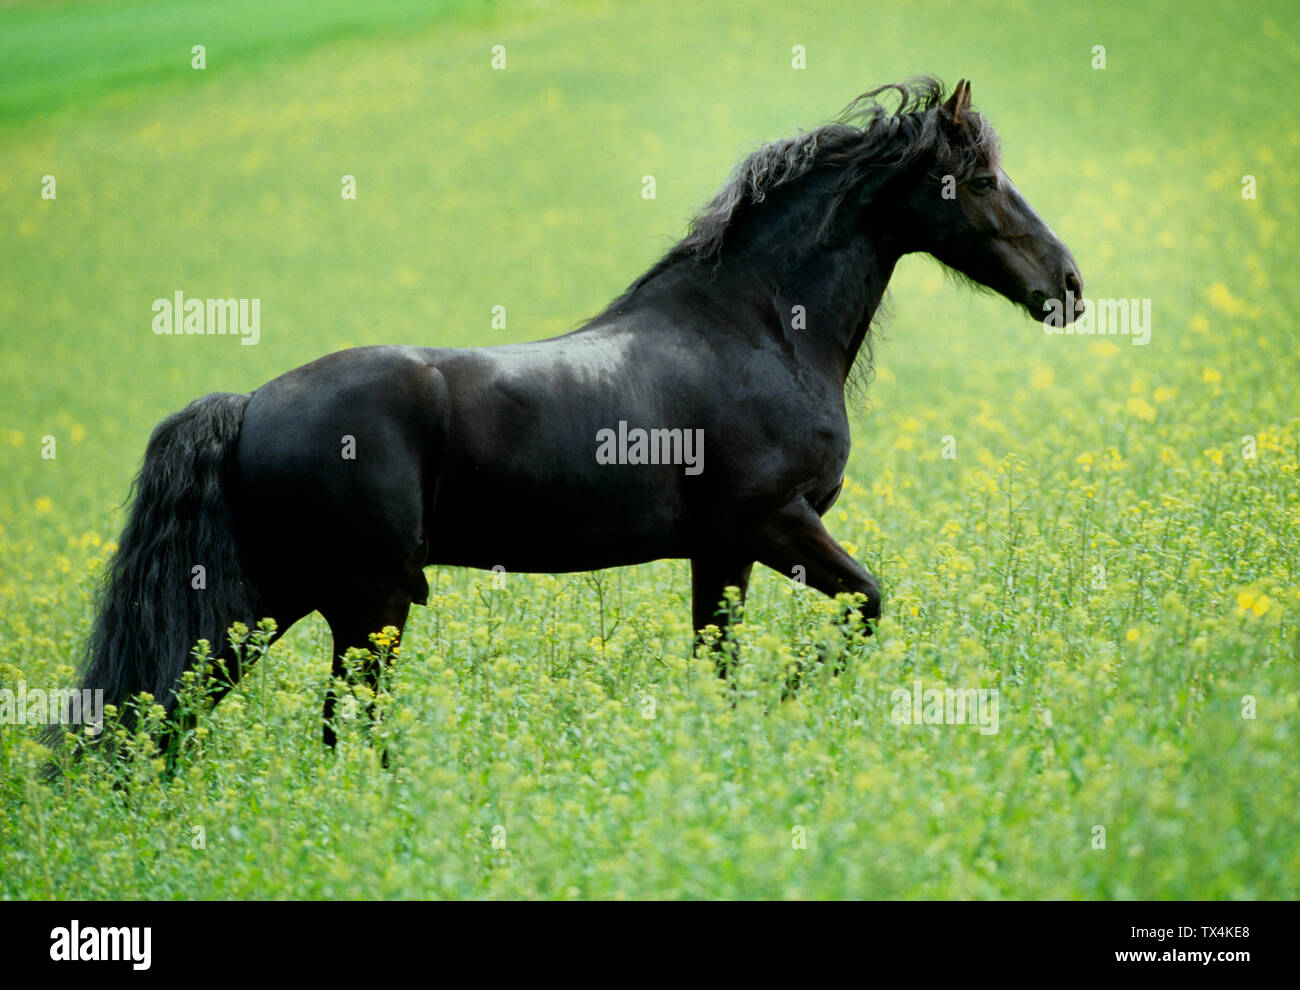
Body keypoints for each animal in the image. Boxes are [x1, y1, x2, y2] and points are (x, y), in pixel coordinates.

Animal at [67, 77, 1083, 760]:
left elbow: (718, 663)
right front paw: (791, 704)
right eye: (980, 179)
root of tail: (248, 408)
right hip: (363, 605)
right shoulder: (772, 524)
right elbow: (868, 602)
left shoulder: (722, 552)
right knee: (333, 726)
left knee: (170, 711)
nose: (1067, 286)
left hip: (271, 602)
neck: (758, 325)